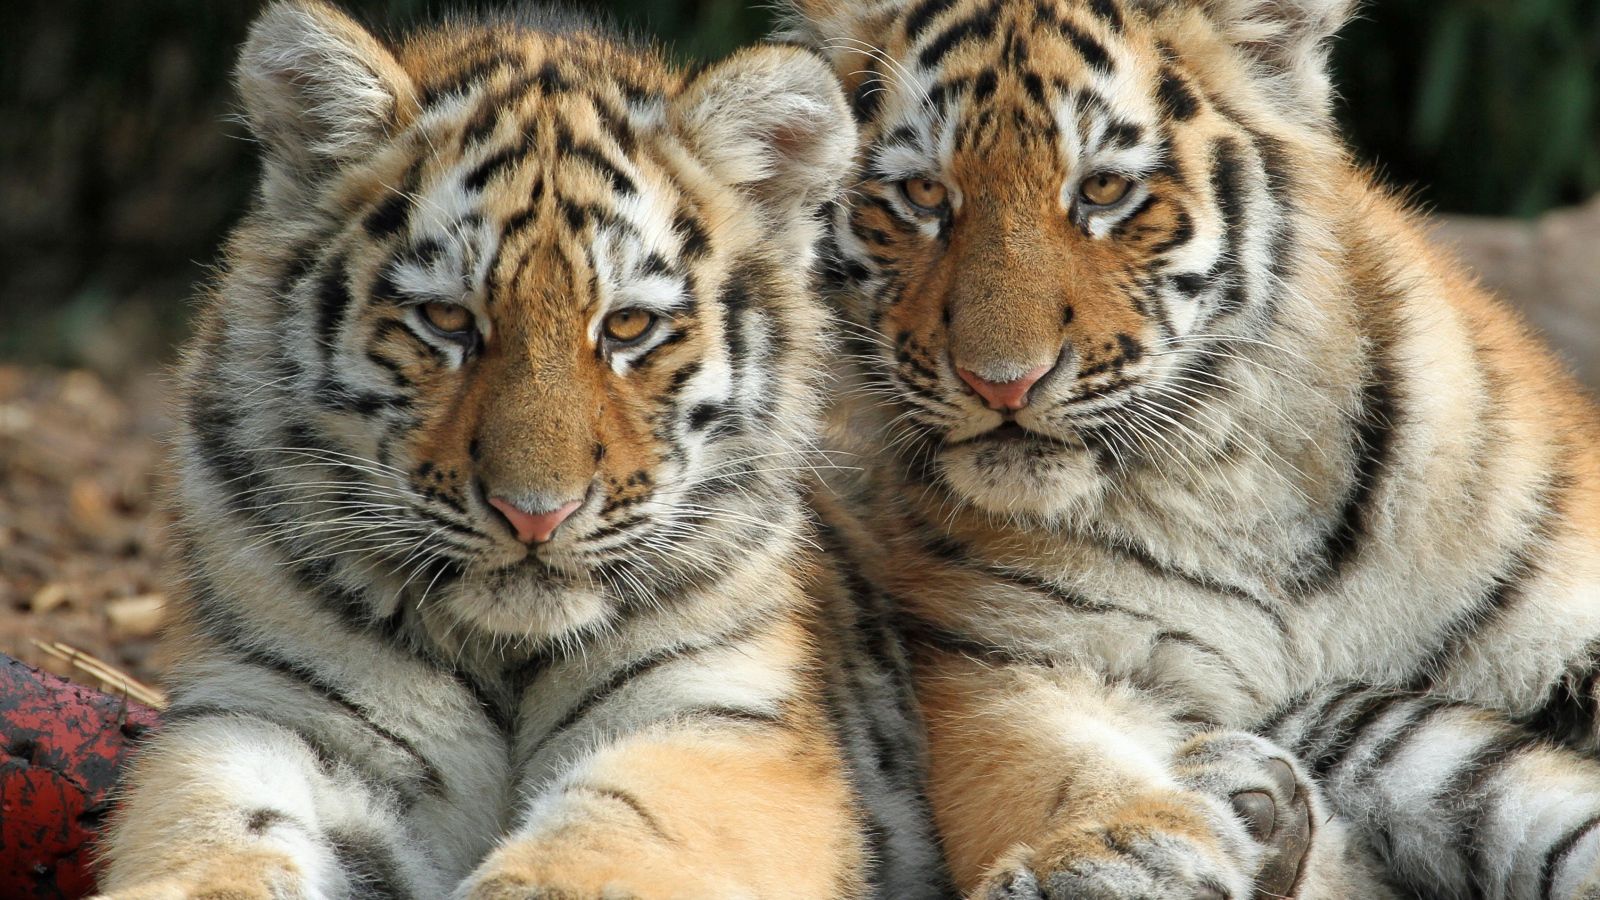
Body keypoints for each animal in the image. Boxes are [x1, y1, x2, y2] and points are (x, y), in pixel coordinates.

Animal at [94, 3, 951, 897]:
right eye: (446, 320)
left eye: (628, 326)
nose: (534, 515)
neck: (508, 655)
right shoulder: (263, 713)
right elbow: (214, 832)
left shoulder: (718, 722)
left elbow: (603, 838)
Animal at [780, 0, 1600, 897]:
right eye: (924, 193)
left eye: (1103, 189)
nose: (1002, 383)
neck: (1230, 479)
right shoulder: (999, 666)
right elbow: (1052, 769)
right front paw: (1120, 854)